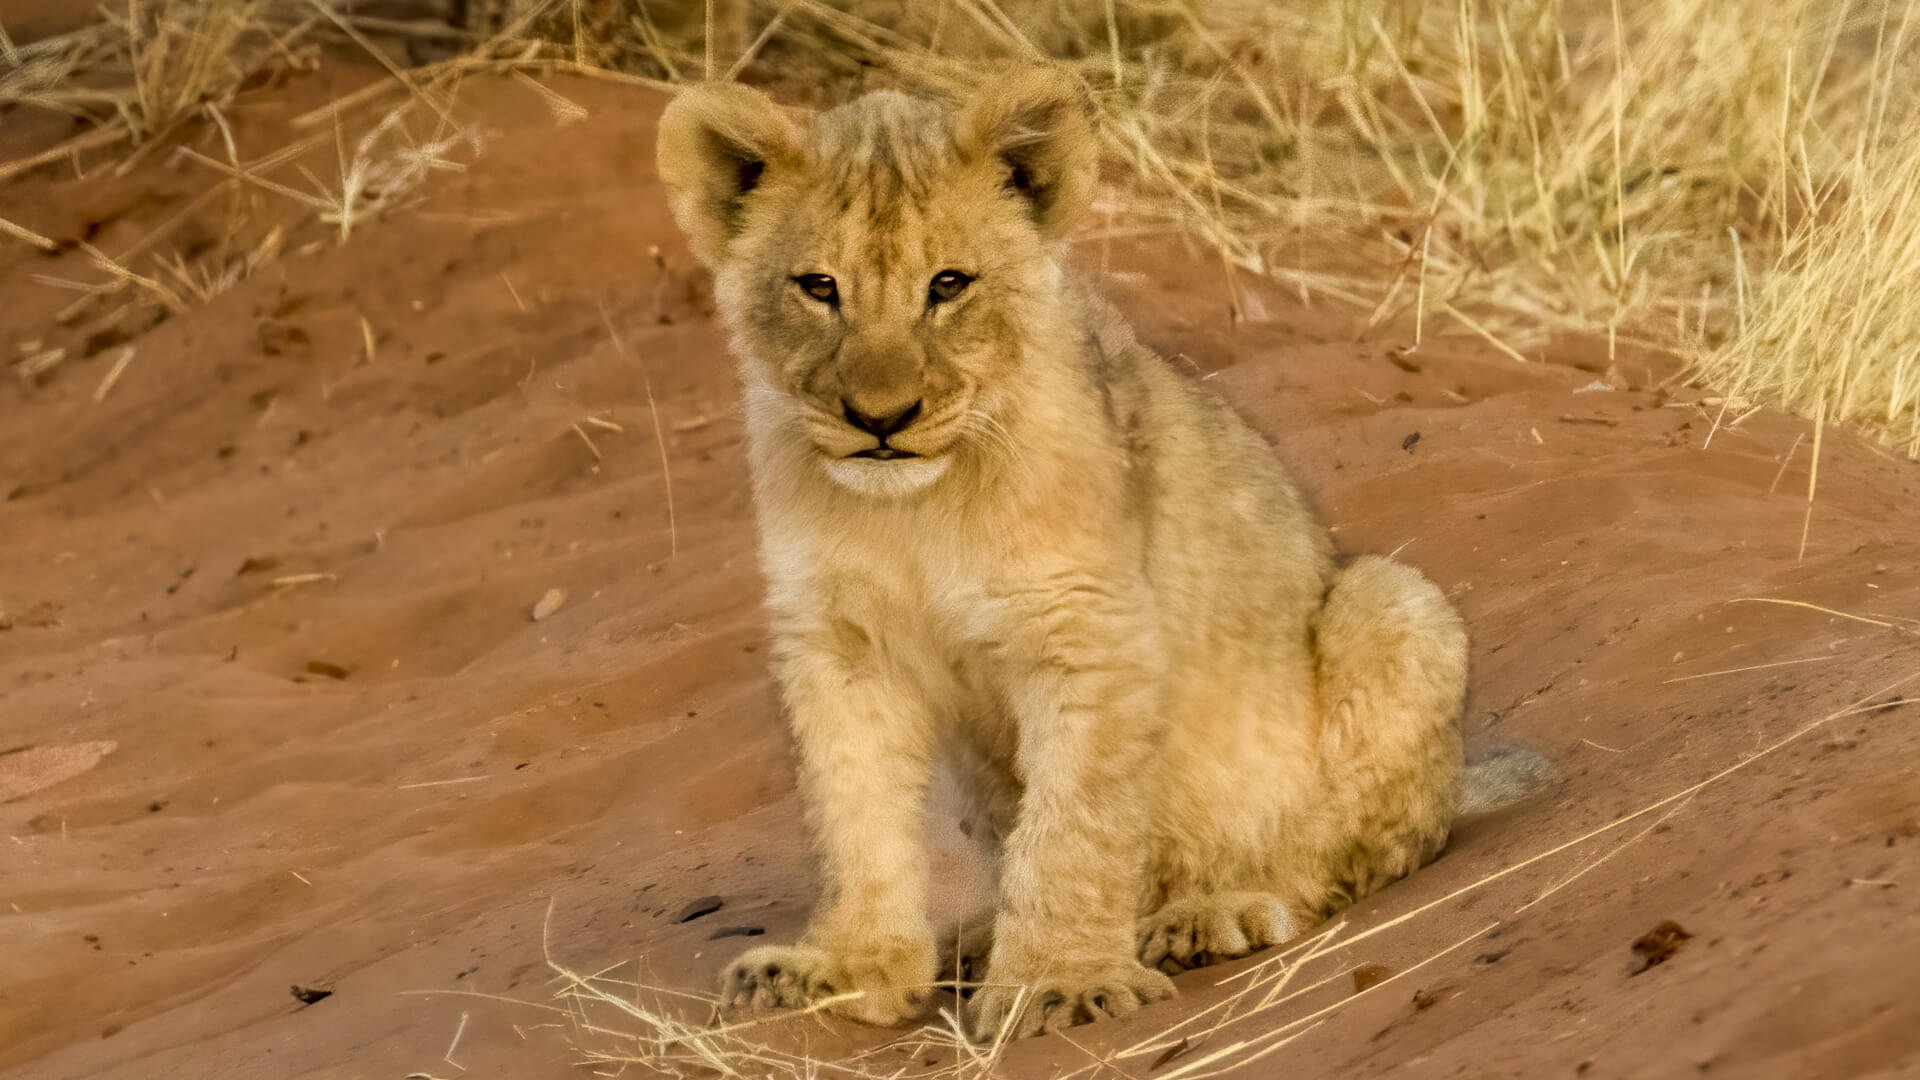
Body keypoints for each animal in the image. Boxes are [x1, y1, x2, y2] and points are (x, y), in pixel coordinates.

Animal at [655, 67, 1549, 1040]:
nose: (881, 418)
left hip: (1393, 603)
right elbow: (853, 818)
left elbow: (1072, 828)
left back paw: (1214, 913)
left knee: (1355, 861)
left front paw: (1060, 981)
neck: (916, 512)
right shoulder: (837, 646)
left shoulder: (1089, 635)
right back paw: (977, 940)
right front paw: (845, 971)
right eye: (819, 287)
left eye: (948, 284)